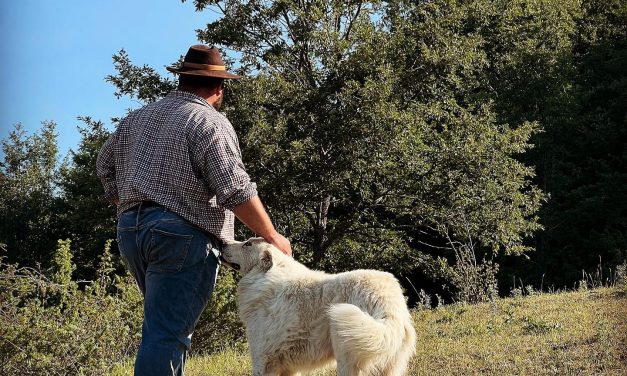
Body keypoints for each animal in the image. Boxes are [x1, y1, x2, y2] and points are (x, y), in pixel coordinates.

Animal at [221, 238, 418, 376]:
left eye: (247, 244)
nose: (222, 243)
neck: (263, 278)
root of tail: (385, 299)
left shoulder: (262, 360)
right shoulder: (287, 367)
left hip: (347, 357)